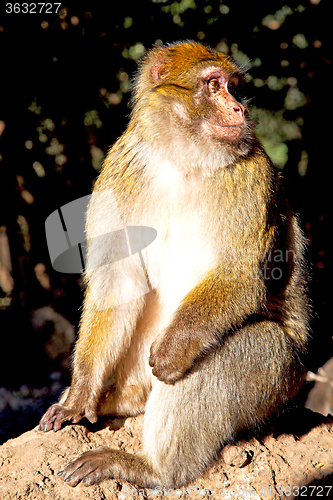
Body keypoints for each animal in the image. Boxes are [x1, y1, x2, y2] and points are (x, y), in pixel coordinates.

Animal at [39, 42, 308, 488]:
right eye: (213, 85)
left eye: (234, 87)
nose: (239, 109)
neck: (183, 159)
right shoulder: (121, 166)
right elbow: (118, 280)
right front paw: (79, 394)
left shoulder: (252, 177)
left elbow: (239, 274)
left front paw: (172, 348)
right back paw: (114, 403)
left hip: (281, 390)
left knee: (251, 344)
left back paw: (153, 468)